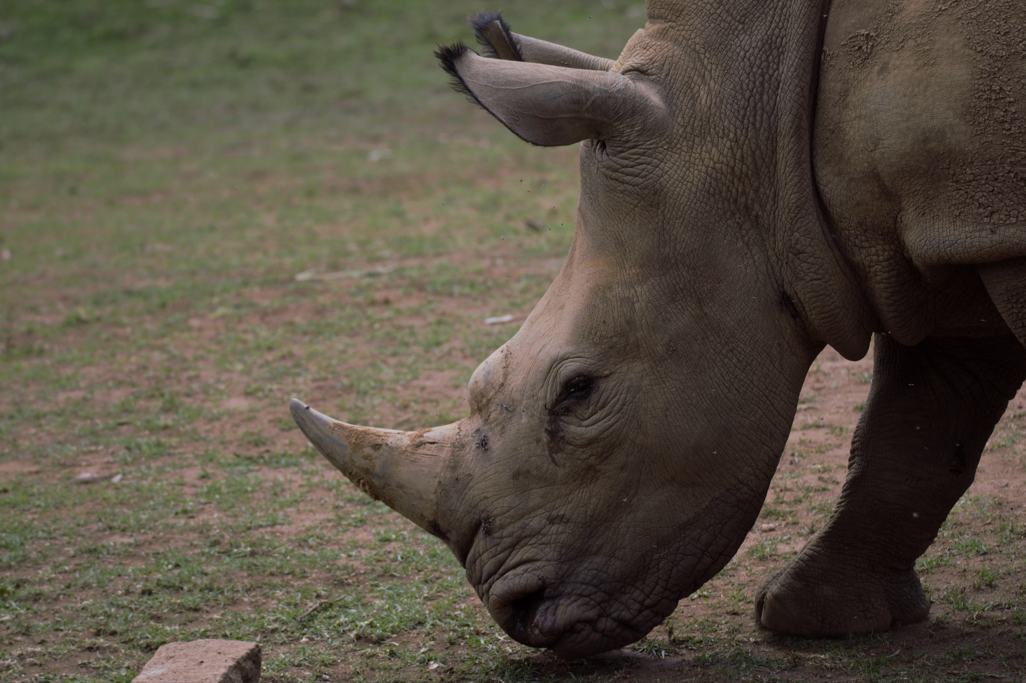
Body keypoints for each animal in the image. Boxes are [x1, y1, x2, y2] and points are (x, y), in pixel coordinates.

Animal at [290, 0, 1026, 658]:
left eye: (580, 391)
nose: (518, 613)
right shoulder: (948, 229)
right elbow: (915, 430)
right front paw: (812, 618)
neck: (757, 117)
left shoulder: (986, 225)